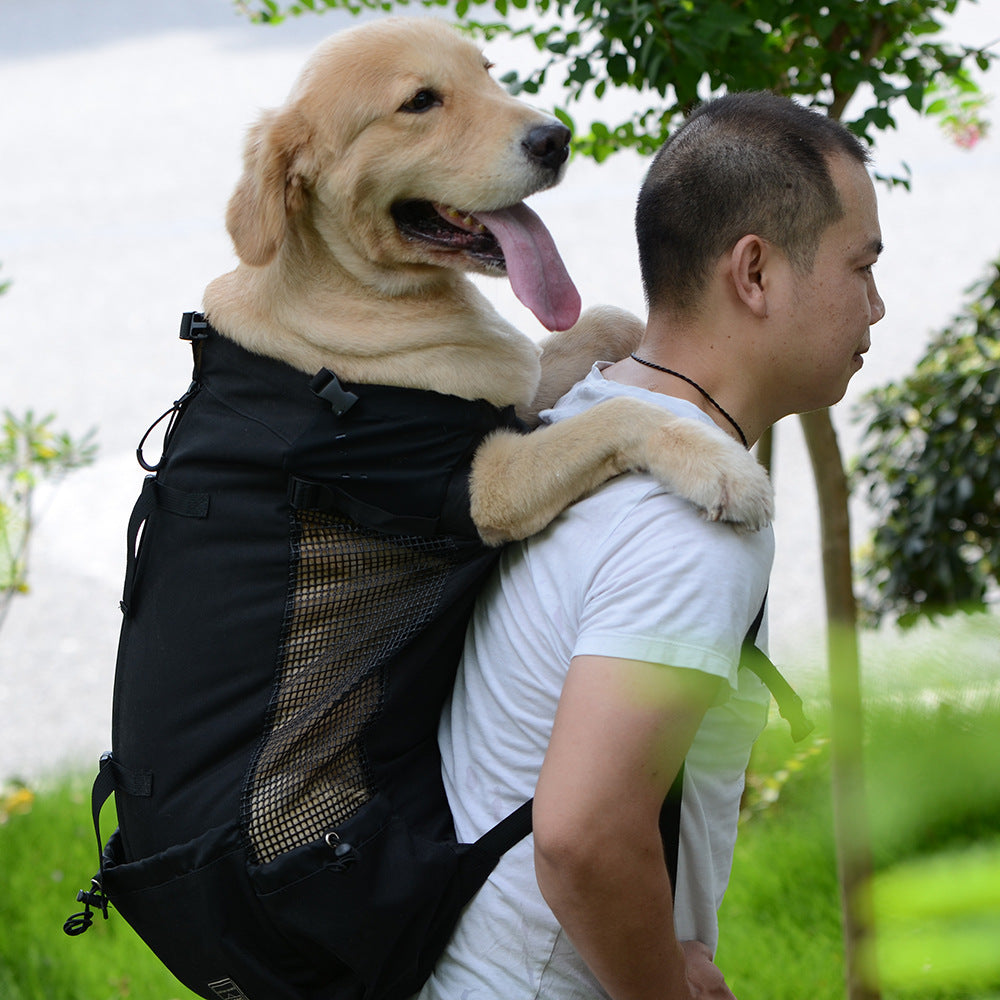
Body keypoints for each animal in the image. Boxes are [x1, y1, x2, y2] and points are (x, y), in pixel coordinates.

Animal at [199, 13, 768, 540]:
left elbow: (609, 321)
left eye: (487, 72)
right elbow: (618, 414)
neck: (360, 287)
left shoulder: (513, 395)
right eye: (420, 101)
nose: (557, 139)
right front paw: (723, 467)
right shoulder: (481, 482)